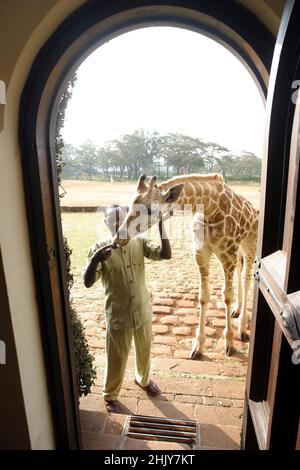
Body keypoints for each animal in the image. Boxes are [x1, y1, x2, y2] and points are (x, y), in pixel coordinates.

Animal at [113, 173, 258, 356]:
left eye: (150, 209)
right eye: (130, 204)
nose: (118, 238)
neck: (211, 210)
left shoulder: (227, 255)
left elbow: (226, 296)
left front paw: (230, 344)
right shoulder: (201, 254)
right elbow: (203, 296)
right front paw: (198, 346)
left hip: (249, 244)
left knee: (246, 278)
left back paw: (243, 328)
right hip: (237, 251)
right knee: (240, 271)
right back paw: (236, 311)